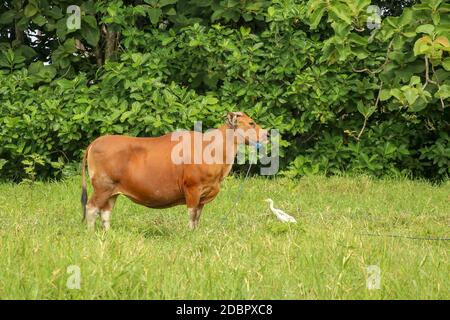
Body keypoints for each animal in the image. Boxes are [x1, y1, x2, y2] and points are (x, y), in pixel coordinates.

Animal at [80, 112, 268, 230]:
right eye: (251, 123)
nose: (266, 134)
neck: (211, 148)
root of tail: (96, 142)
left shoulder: (203, 195)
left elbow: (198, 216)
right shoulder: (192, 189)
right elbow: (192, 216)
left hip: (112, 191)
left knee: (105, 212)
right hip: (102, 187)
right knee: (91, 208)